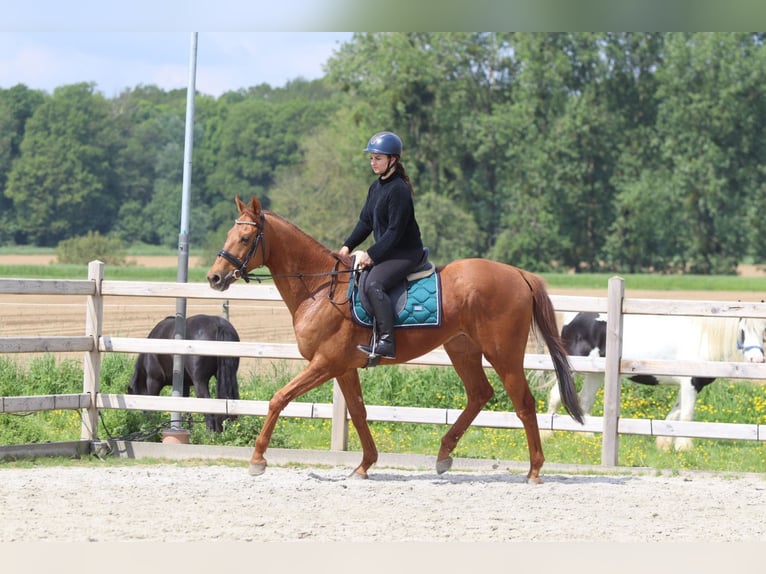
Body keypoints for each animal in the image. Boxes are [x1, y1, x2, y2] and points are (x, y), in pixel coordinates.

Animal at [206, 195, 584, 483]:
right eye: (228, 234)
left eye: (244, 239)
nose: (214, 277)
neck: (320, 288)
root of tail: (519, 274)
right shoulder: (343, 368)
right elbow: (358, 412)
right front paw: (364, 465)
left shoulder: (325, 363)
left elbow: (278, 399)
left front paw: (257, 459)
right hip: (462, 348)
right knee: (480, 394)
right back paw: (444, 455)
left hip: (503, 353)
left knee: (524, 403)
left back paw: (534, 470)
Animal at [546, 311, 766, 451]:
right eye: (742, 331)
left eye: (764, 331)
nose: (757, 360)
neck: (703, 340)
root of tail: (572, 319)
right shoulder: (690, 383)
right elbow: (686, 416)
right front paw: (684, 446)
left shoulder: (689, 386)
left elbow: (674, 415)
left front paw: (664, 443)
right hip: (571, 370)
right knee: (556, 396)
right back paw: (549, 433)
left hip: (596, 374)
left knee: (584, 401)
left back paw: (586, 436)